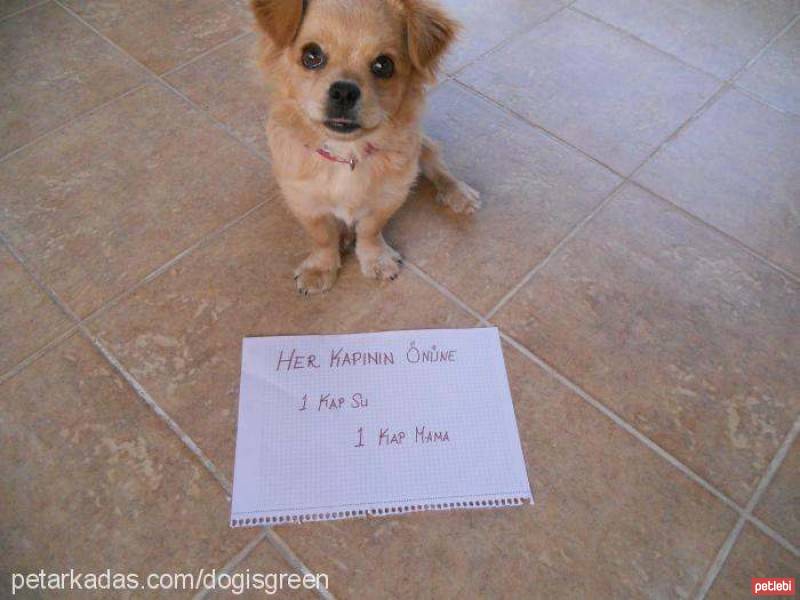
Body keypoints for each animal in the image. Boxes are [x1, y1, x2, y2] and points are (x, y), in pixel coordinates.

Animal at [255, 0, 482, 296]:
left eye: (383, 65)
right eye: (311, 55)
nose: (343, 91)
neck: (347, 155)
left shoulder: (389, 197)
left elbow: (370, 230)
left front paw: (376, 259)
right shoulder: (304, 201)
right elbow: (322, 237)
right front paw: (321, 268)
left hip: (422, 147)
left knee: (436, 165)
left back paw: (458, 193)